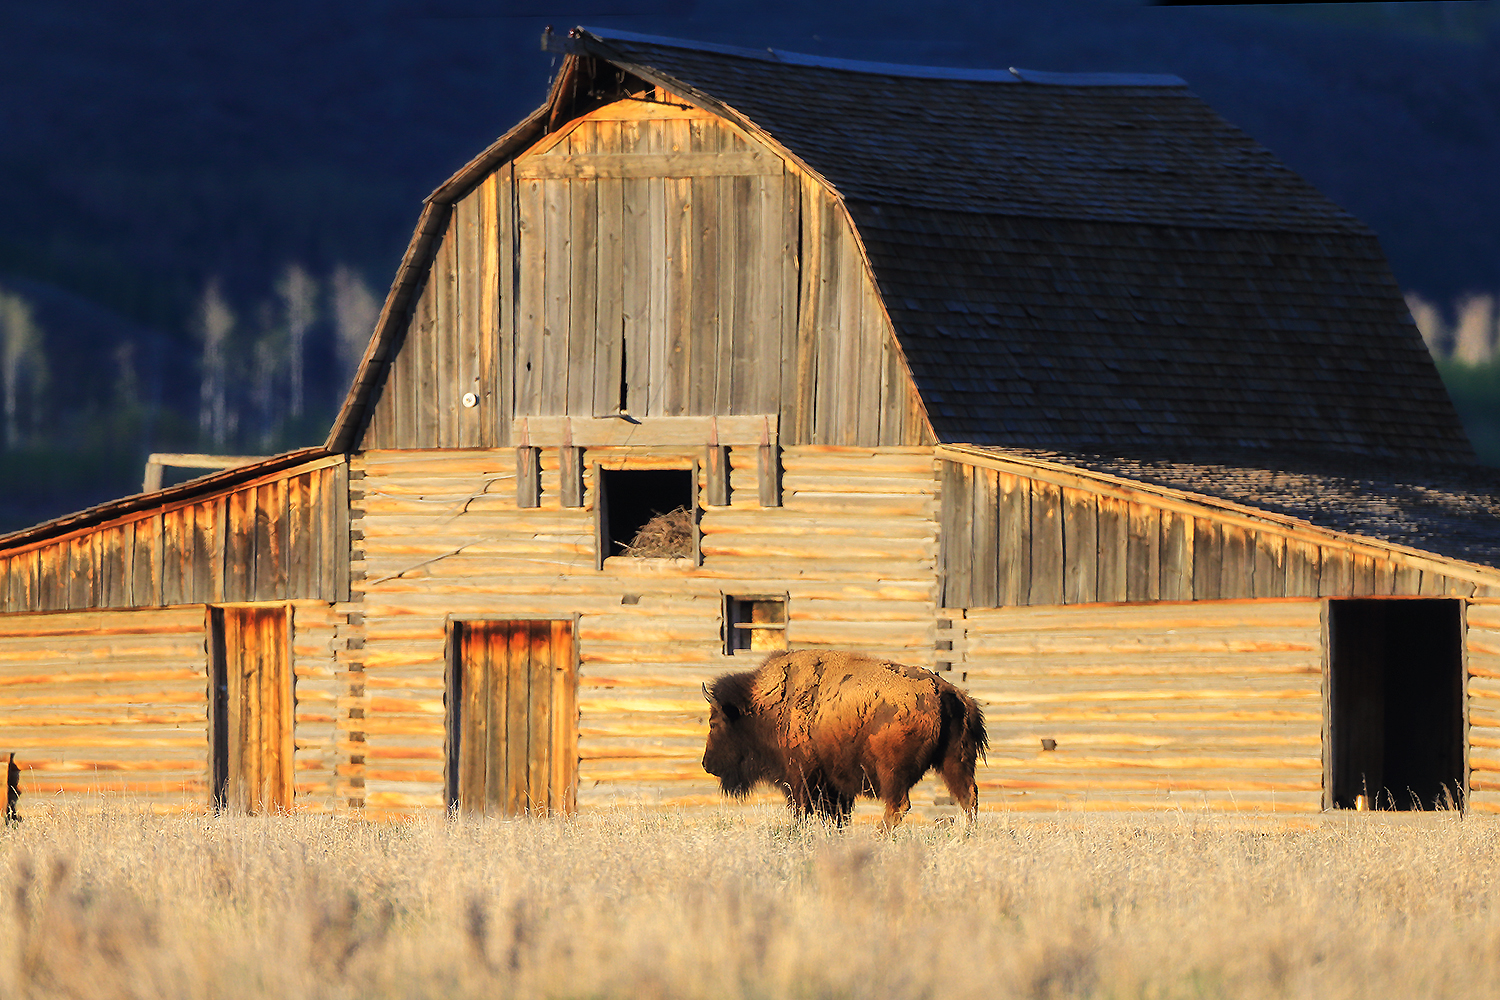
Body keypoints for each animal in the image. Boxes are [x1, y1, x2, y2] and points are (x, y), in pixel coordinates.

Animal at [702, 649, 987, 830]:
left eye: (714, 723)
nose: (706, 764)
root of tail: (946, 692)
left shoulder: (801, 777)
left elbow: (801, 811)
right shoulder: (833, 788)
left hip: (892, 771)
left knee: (898, 805)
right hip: (955, 762)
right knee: (968, 798)